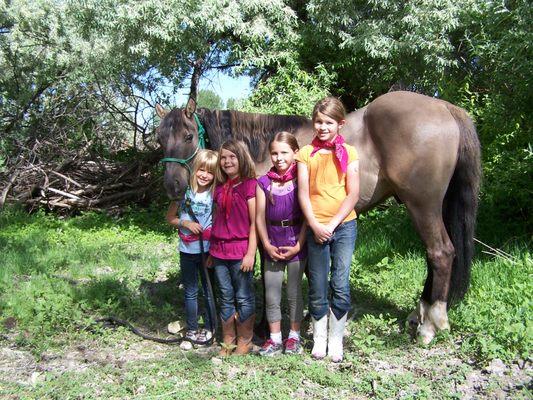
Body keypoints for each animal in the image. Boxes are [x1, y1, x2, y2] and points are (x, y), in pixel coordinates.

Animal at [155, 91, 482, 344]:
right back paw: (421, 313)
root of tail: (444, 107)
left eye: (188, 135)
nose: (172, 186)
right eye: (159, 140)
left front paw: (264, 327)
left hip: (423, 205)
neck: (261, 153)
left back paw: (432, 324)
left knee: (441, 253)